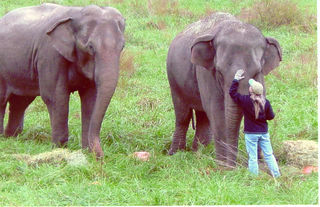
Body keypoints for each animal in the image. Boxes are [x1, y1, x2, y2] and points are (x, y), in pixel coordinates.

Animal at [0, 3, 125, 157]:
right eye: (90, 47)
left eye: (122, 47)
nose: (101, 158)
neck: (78, 11)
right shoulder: (50, 54)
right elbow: (55, 96)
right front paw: (60, 149)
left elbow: (91, 99)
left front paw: (86, 152)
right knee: (3, 100)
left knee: (20, 102)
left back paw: (11, 137)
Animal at [166, 12, 282, 167]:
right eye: (220, 72)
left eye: (257, 72)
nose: (233, 165)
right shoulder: (205, 71)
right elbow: (217, 111)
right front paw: (223, 166)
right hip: (173, 80)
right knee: (183, 115)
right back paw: (176, 153)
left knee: (203, 116)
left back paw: (199, 152)